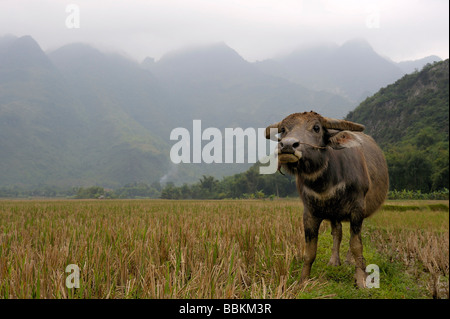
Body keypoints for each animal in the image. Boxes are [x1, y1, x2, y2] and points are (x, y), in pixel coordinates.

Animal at [266, 111, 388, 288]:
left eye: (316, 128)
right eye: (283, 129)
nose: (287, 145)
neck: (325, 183)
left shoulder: (357, 210)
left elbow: (356, 245)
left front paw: (360, 280)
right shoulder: (309, 213)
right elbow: (310, 251)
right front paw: (303, 281)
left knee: (352, 238)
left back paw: (349, 261)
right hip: (334, 214)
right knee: (338, 233)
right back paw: (334, 261)